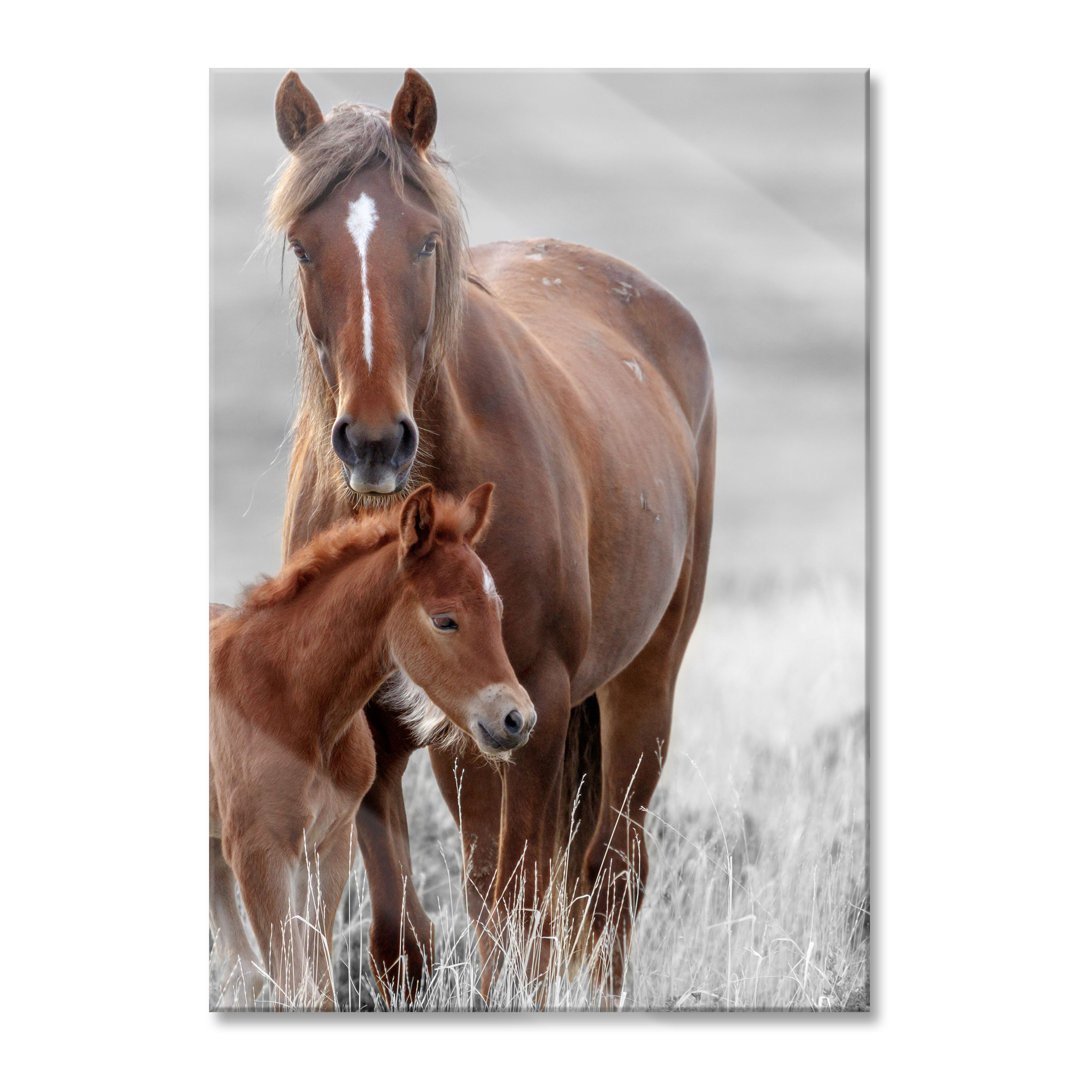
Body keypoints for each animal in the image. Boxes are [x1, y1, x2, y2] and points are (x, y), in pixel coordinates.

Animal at [207, 486, 535, 1006]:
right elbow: (290, 985)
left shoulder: (330, 846)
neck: (294, 703)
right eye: (445, 620)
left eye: (498, 611)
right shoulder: (259, 852)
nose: (517, 719)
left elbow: (316, 987)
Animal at [268, 65, 712, 993]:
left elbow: (525, 920)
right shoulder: (378, 728)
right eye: (302, 245)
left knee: (608, 876)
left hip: (637, 692)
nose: (374, 442)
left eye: (426, 242)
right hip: (472, 742)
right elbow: (408, 940)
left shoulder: (535, 702)